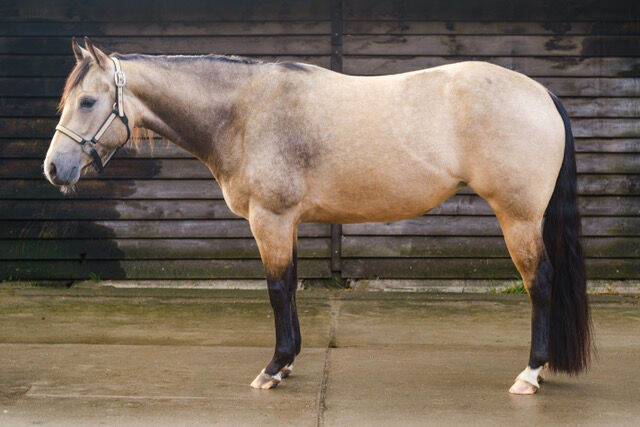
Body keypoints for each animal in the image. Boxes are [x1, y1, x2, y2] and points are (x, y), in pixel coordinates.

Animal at [43, 38, 592, 396]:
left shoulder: (269, 219)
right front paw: (287, 365)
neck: (244, 112)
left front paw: (273, 369)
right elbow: (290, 286)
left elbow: (276, 289)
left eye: (88, 100)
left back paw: (530, 375)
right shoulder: (287, 222)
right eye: (67, 99)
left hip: (518, 217)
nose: (53, 169)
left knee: (540, 283)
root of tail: (543, 94)